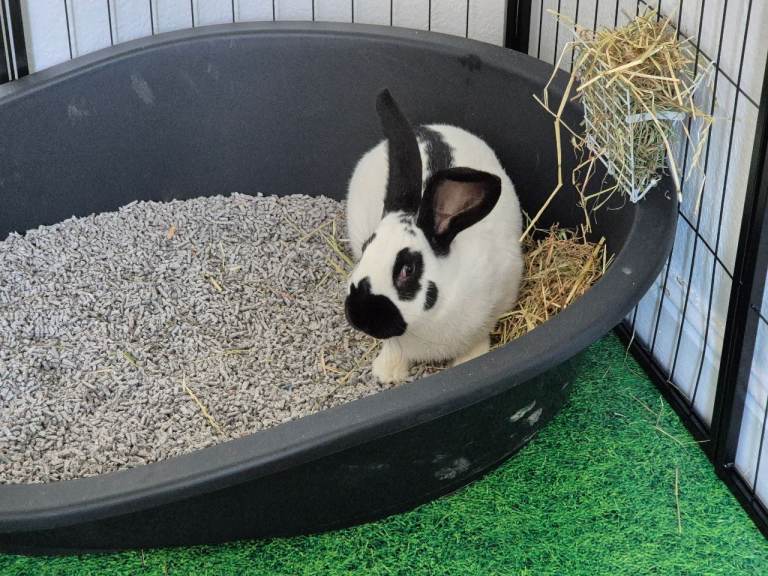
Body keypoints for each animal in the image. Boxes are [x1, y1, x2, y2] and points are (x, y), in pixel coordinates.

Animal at [344, 89, 523, 383]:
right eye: (366, 247)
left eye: (407, 269)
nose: (359, 316)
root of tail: (425, 128)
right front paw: (387, 372)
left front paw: (470, 361)